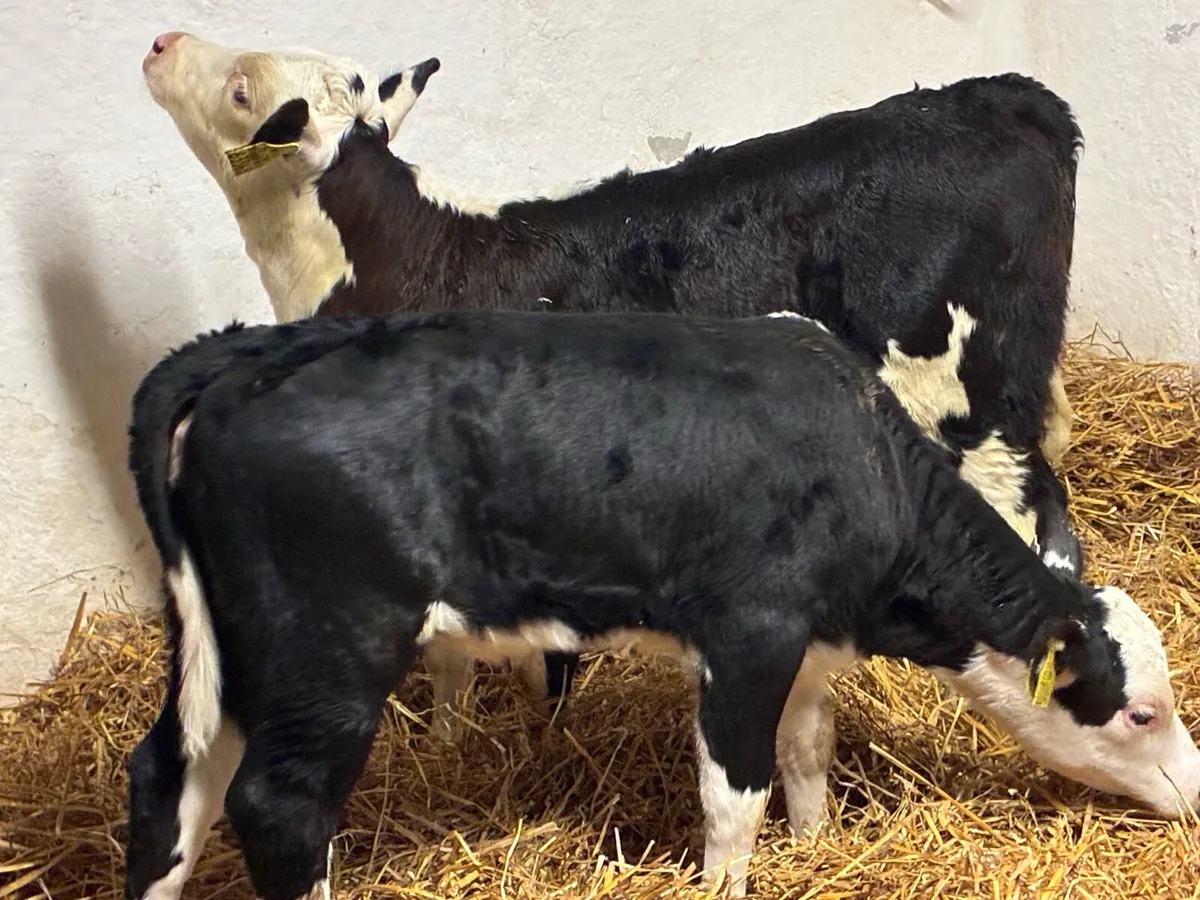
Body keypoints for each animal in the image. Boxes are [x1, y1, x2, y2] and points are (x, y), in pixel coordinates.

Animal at [124, 307, 1199, 900]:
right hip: (328, 648)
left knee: (170, 778)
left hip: (230, 647)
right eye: (1141, 712)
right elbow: (735, 794)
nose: (1196, 795)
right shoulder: (750, 636)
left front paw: (817, 850)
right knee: (280, 805)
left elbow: (807, 754)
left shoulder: (806, 648)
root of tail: (253, 350)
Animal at [142, 31, 1084, 741]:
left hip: (964, 390)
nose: (162, 39)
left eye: (240, 87)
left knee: (1034, 517)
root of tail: (1003, 95)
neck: (403, 254)